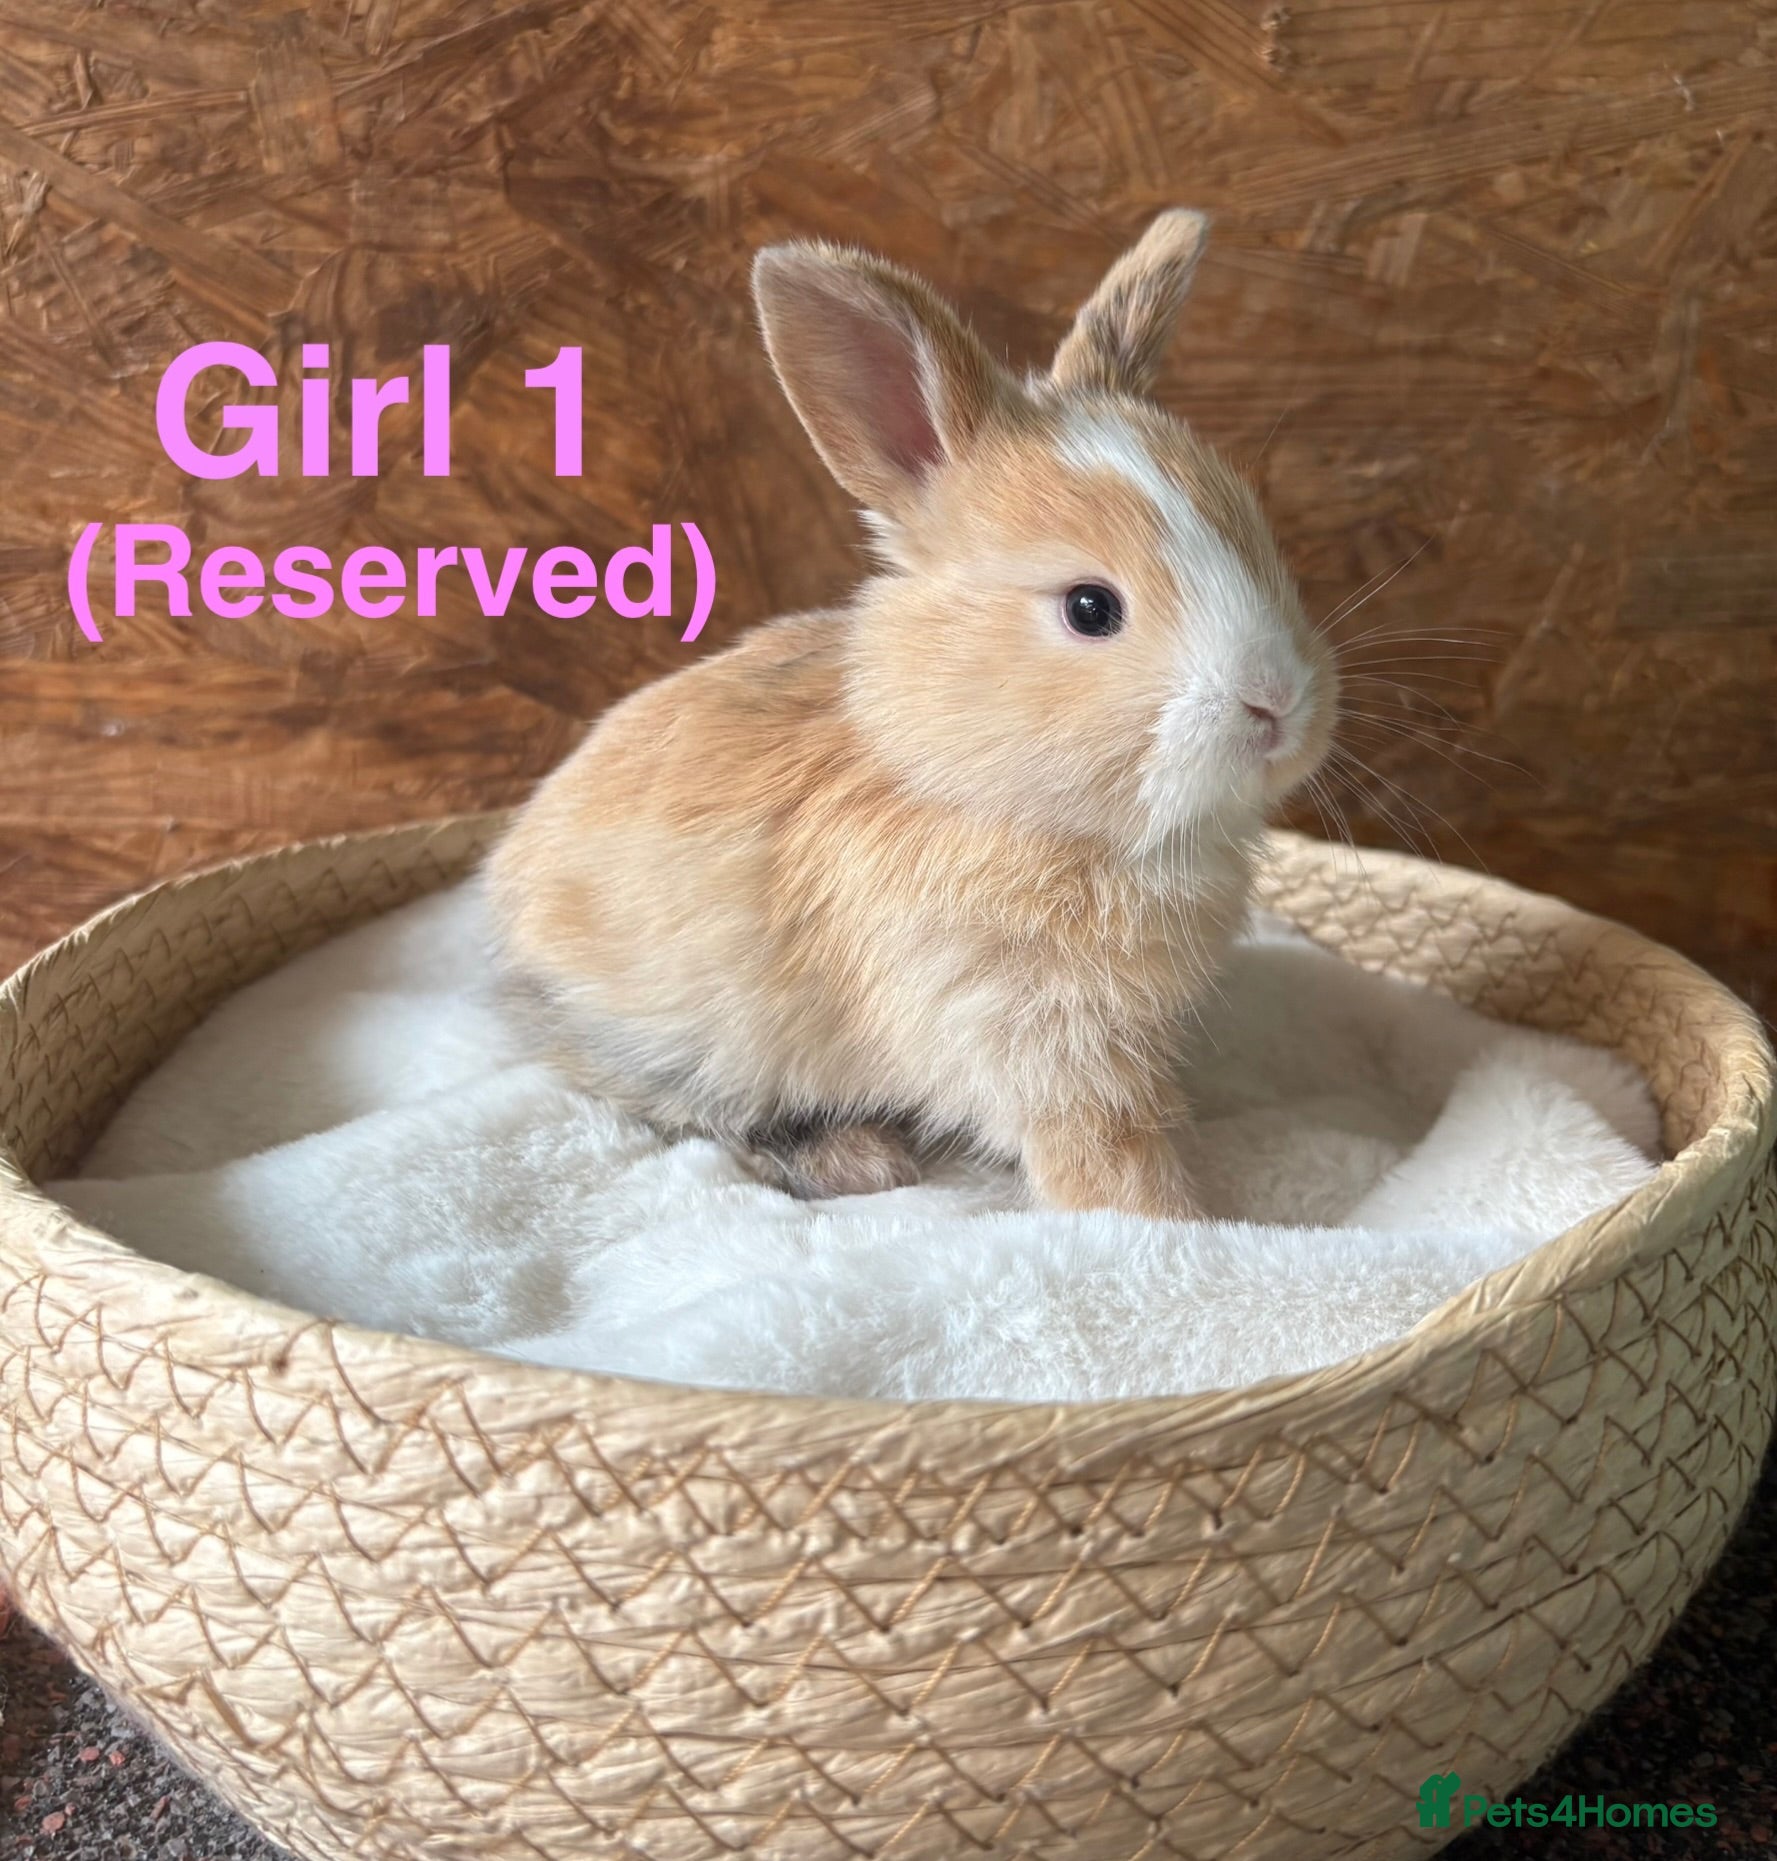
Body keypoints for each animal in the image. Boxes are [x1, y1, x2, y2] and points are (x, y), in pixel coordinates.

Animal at [486, 209, 1338, 1216]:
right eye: (1091, 608)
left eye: (1260, 540)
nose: (1277, 705)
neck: (959, 783)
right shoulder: (1030, 1031)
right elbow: (1100, 1149)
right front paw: (1169, 1222)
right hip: (685, 1041)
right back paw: (855, 1158)